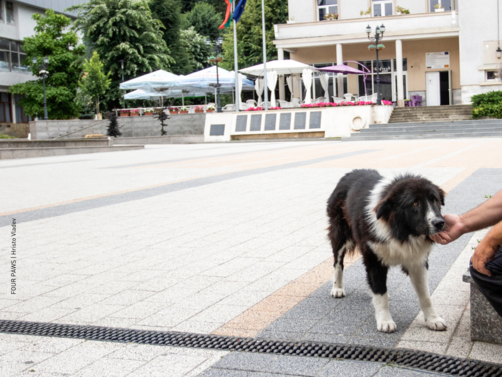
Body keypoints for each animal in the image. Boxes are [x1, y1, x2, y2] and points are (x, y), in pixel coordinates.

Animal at [330, 170, 448, 332]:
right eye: (415, 203)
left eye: (435, 200)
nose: (440, 223)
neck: (400, 232)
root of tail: (349, 173)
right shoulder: (374, 260)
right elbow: (380, 294)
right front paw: (385, 321)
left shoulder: (417, 262)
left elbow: (426, 295)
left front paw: (433, 319)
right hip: (341, 235)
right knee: (338, 262)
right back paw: (337, 288)